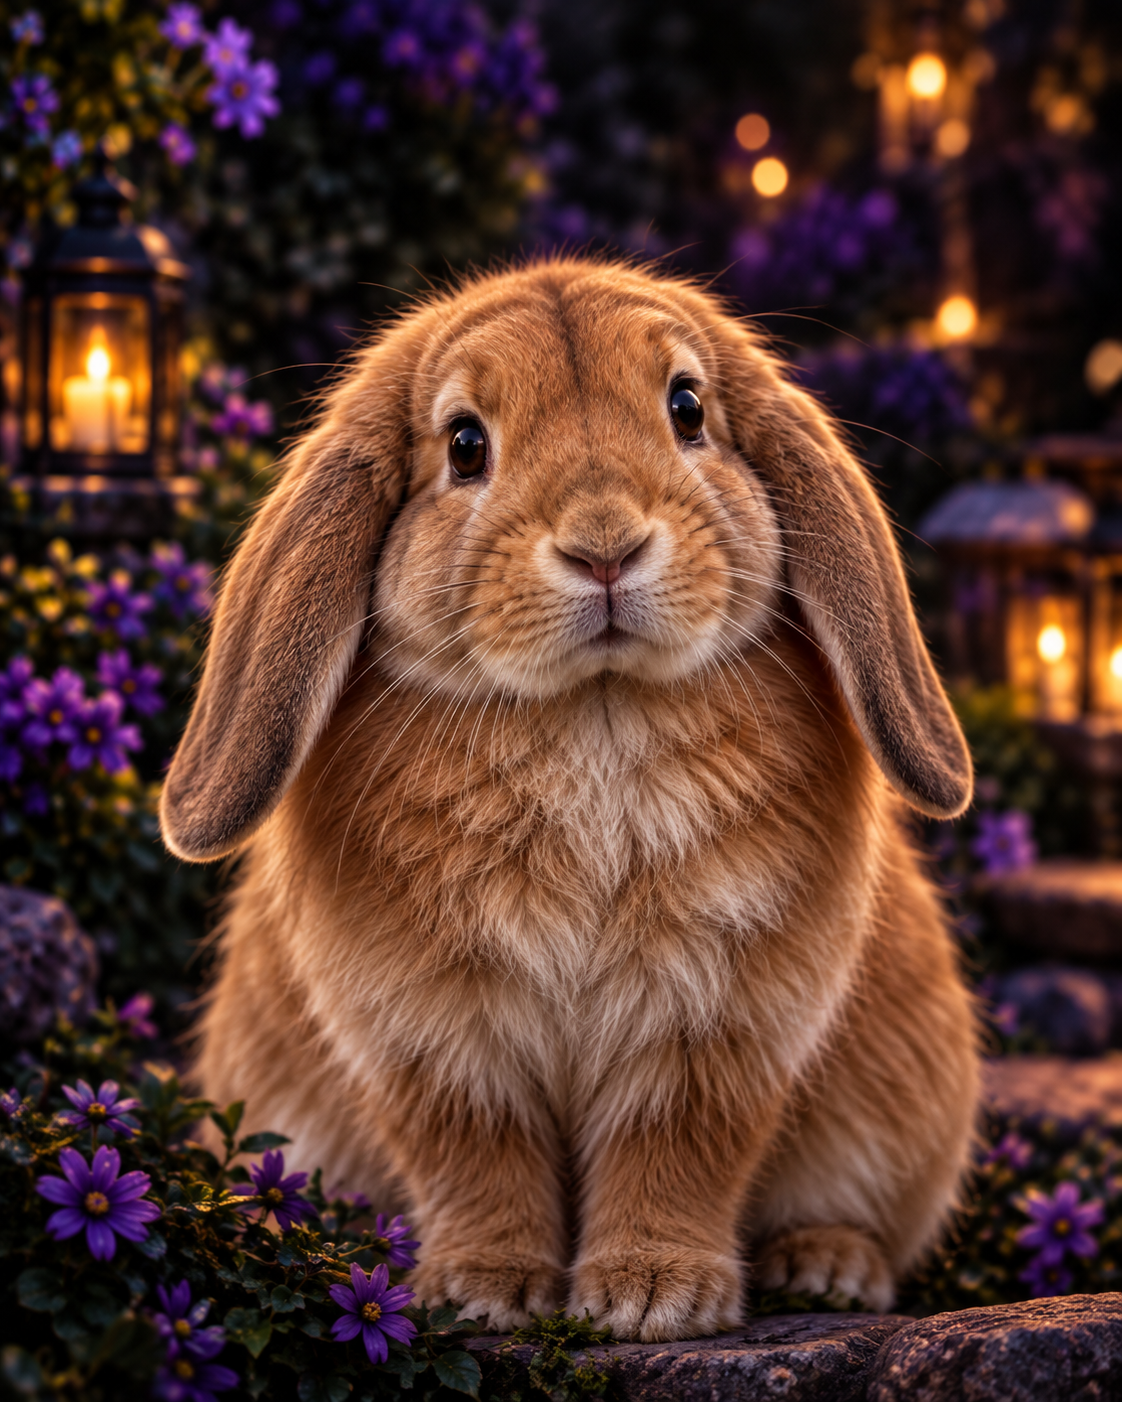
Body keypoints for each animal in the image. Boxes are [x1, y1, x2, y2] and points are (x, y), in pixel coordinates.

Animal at [160, 257, 979, 1343]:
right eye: (465, 443)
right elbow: (477, 1163)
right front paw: (487, 1293)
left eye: (686, 408)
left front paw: (651, 1298)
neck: (593, 710)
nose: (605, 548)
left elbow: (674, 1154)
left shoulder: (710, 1031)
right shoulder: (439, 1045)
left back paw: (825, 1268)